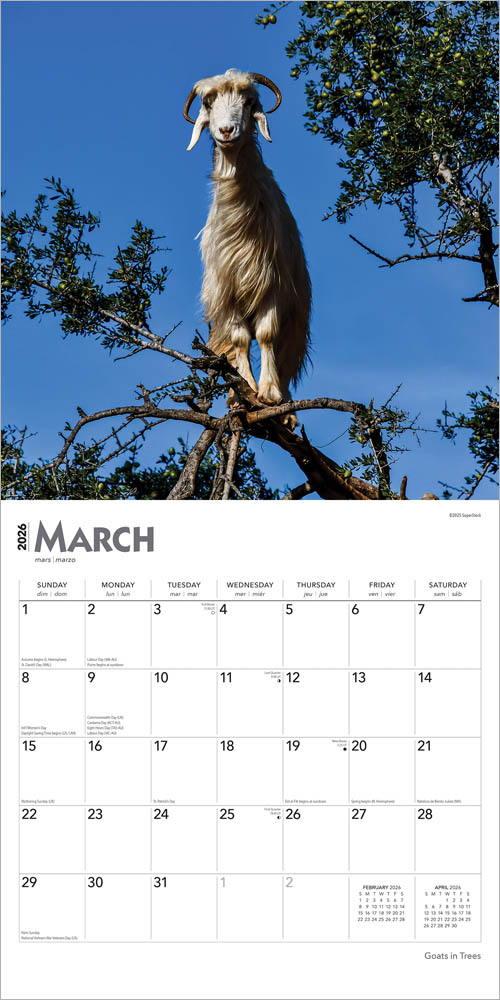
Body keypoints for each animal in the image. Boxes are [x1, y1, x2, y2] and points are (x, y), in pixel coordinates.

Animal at [183, 69, 311, 426]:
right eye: (208, 102)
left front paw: (268, 394)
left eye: (249, 101)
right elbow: (241, 342)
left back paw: (287, 409)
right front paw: (245, 395)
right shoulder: (227, 294)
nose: (227, 131)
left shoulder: (273, 287)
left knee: (283, 353)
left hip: (297, 316)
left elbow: (266, 336)